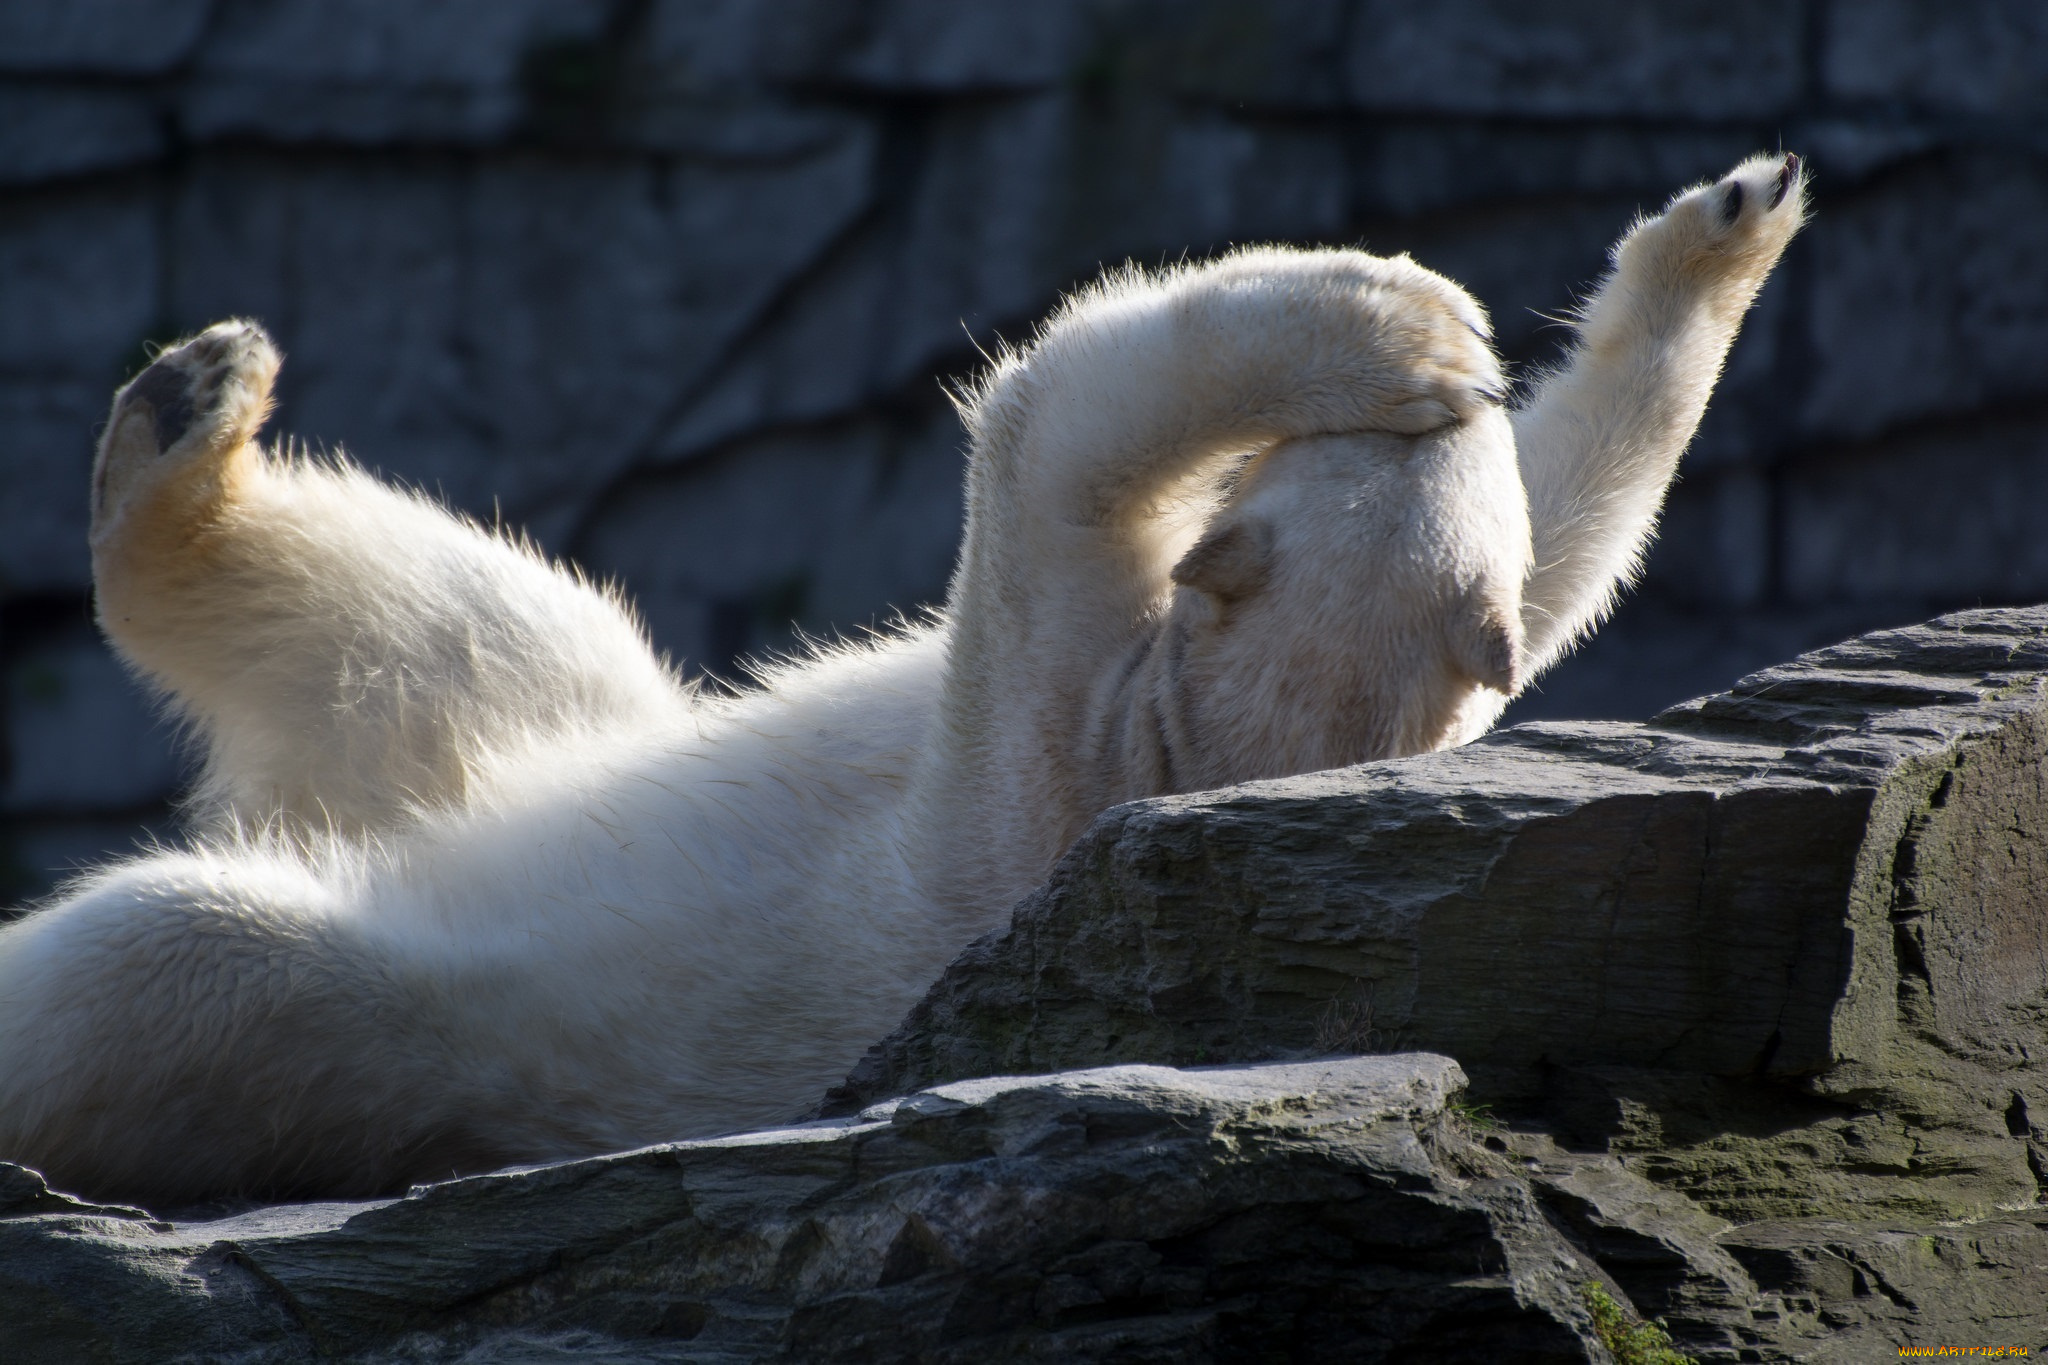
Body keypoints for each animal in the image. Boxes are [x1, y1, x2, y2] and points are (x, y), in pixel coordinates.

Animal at [0, 149, 1810, 1203]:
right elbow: (1568, 552)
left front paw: (1392, 321)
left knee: (168, 951)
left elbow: (1044, 440)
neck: (1192, 754)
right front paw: (1712, 236)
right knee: (475, 623)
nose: (1456, 390)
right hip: (520, 730)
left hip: (380, 1016)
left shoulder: (1054, 754)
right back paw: (190, 407)